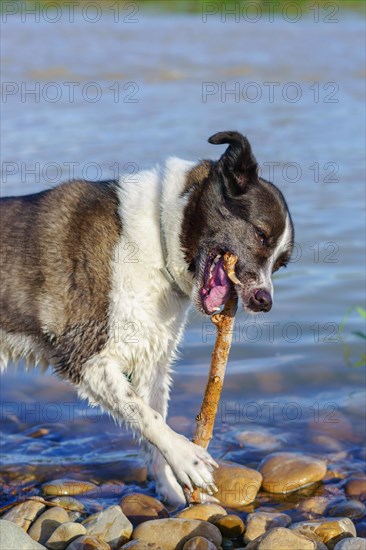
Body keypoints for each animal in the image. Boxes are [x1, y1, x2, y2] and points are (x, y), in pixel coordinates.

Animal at [0, 132, 294, 506]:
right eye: (260, 235)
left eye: (281, 264)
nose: (264, 301)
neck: (158, 235)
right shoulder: (85, 358)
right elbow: (146, 415)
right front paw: (187, 457)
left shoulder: (151, 362)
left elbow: (151, 422)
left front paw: (172, 492)